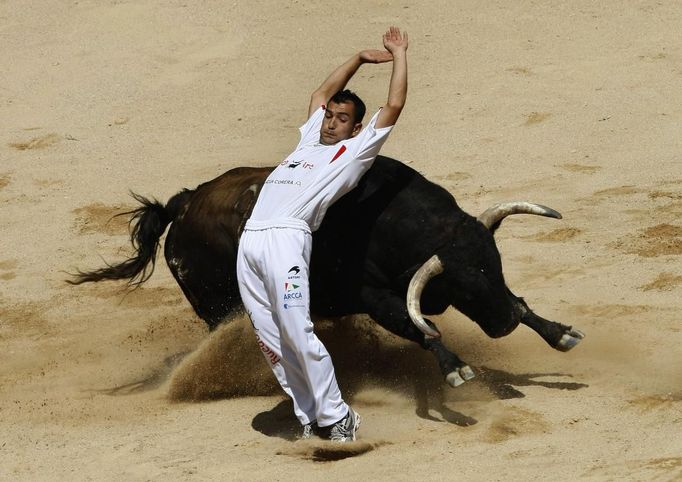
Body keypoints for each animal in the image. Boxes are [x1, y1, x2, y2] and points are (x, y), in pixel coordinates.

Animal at [73, 155, 584, 388]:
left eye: (494, 267)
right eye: (460, 284)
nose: (505, 323)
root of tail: (183, 204)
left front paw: (559, 332)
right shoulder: (375, 296)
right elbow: (417, 325)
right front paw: (456, 369)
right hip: (215, 308)